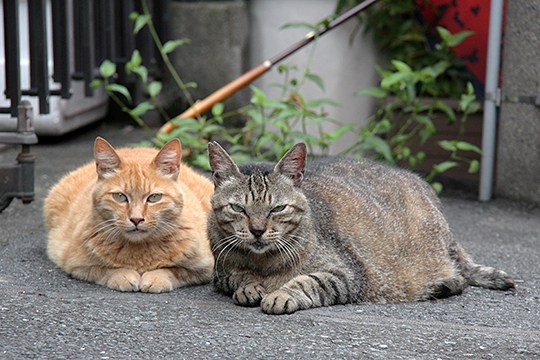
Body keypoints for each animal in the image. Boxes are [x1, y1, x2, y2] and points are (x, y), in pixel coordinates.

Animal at [44, 137, 214, 292]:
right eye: (120, 196)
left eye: (154, 197)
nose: (136, 219)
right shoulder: (77, 264)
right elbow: (106, 270)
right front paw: (124, 276)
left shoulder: (205, 267)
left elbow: (174, 270)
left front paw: (155, 278)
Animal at [206, 142, 516, 314]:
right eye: (239, 209)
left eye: (277, 209)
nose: (257, 230)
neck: (263, 263)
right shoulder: (220, 271)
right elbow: (236, 276)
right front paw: (249, 285)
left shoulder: (347, 274)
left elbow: (308, 281)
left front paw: (282, 294)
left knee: (461, 275)